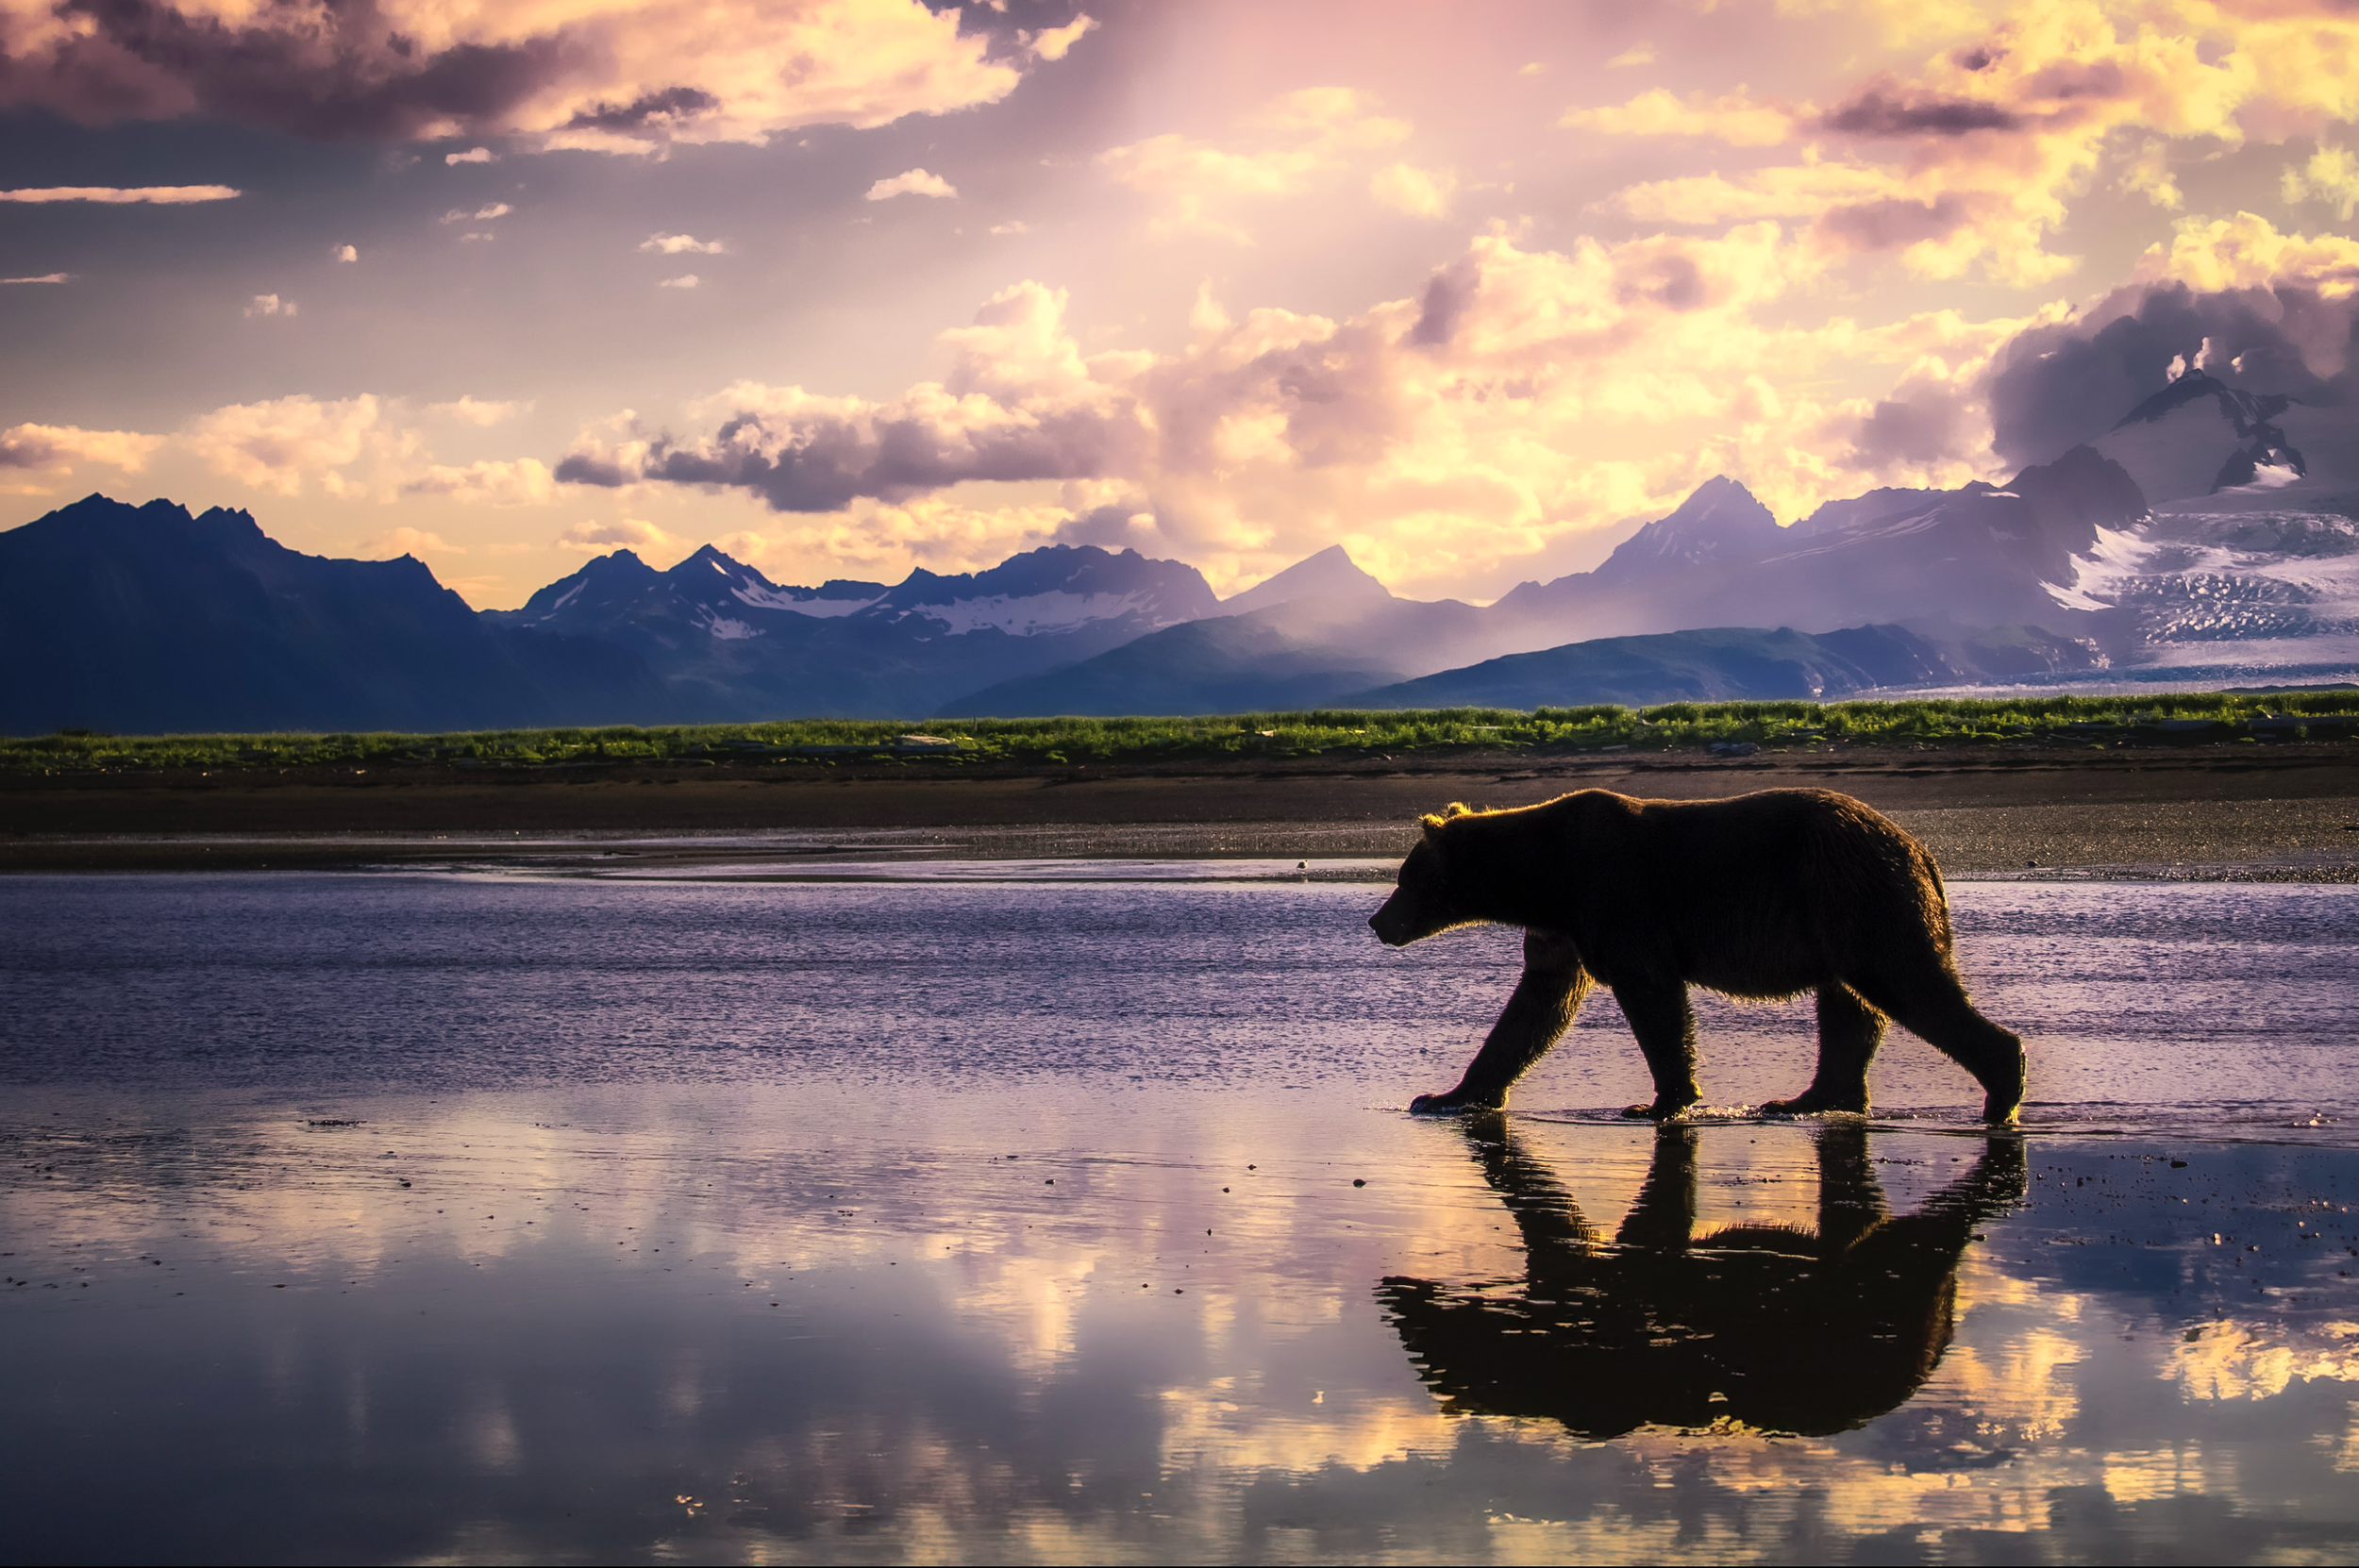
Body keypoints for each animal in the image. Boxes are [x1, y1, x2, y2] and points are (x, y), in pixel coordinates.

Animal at [1367, 788, 2027, 1123]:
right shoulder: (1561, 929)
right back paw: (1806, 1099)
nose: (1377, 922)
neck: (1540, 876)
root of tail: (1922, 849)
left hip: (1853, 894)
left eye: (1404, 877)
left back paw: (2002, 1087)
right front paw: (1447, 1095)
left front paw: (1658, 1100)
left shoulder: (1614, 894)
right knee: (1850, 1006)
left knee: (1903, 980)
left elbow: (1651, 995)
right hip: (1838, 908)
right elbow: (1533, 1009)